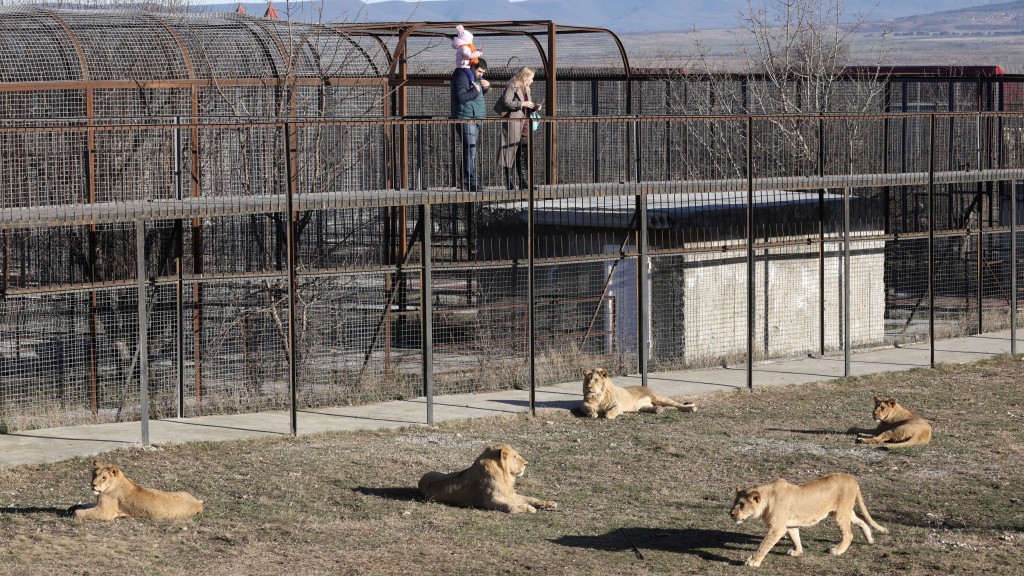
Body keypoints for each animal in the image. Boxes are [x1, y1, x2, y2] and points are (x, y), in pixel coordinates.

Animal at [71, 457, 203, 520]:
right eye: (94, 475)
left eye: (104, 478)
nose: (93, 484)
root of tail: (198, 503)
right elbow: (86, 504)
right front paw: (73, 507)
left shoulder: (104, 512)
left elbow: (81, 513)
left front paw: (73, 512)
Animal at [417, 440, 561, 512]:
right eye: (515, 456)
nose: (526, 463)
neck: (504, 475)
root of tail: (420, 480)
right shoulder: (490, 501)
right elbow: (510, 507)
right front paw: (528, 508)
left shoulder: (510, 495)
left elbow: (530, 498)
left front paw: (548, 503)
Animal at [729, 471, 888, 565]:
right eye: (735, 502)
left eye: (742, 504)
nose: (731, 514)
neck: (767, 499)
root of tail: (852, 478)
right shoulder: (789, 525)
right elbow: (795, 537)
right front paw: (797, 552)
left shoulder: (777, 529)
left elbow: (763, 545)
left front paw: (753, 561)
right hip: (844, 511)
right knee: (861, 520)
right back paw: (869, 539)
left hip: (841, 514)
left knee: (848, 534)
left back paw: (837, 550)